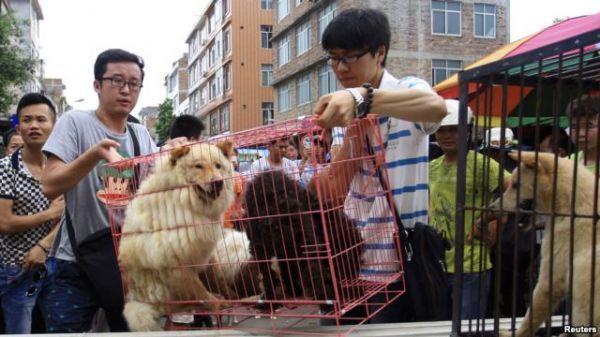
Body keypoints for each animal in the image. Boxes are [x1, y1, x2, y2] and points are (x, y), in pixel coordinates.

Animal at [118, 140, 236, 330]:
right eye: (198, 166)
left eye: (218, 166)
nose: (218, 182)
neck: (186, 201)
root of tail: (135, 297)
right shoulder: (176, 264)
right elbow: (199, 291)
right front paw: (216, 303)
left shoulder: (204, 251)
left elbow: (216, 278)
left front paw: (229, 295)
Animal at [243, 171, 364, 310]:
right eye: (267, 199)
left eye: (289, 193)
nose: (294, 207)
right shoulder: (262, 251)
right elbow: (268, 277)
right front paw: (270, 301)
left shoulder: (307, 242)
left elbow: (315, 270)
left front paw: (327, 298)